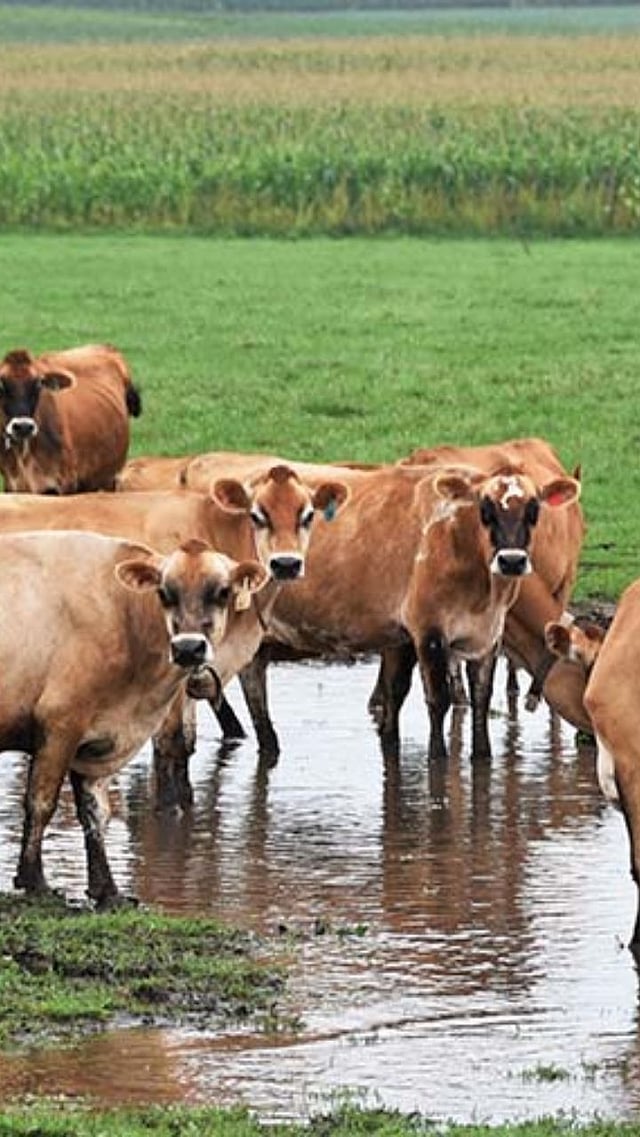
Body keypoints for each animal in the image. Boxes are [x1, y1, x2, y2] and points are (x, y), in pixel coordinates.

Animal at [0, 530, 265, 908]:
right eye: (164, 593)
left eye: (223, 591)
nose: (188, 648)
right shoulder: (60, 723)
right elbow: (41, 802)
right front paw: (34, 879)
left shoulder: (98, 743)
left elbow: (95, 814)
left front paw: (107, 890)